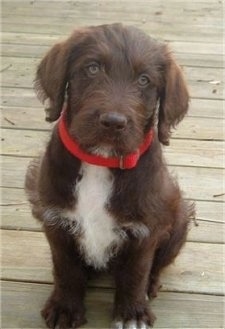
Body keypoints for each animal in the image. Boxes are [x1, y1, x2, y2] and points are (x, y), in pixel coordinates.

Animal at [25, 23, 195, 328]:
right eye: (93, 68)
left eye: (144, 80)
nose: (113, 122)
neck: (100, 159)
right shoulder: (56, 221)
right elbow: (65, 269)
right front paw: (65, 308)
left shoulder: (145, 230)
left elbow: (135, 273)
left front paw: (132, 313)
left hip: (179, 218)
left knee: (156, 266)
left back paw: (151, 285)